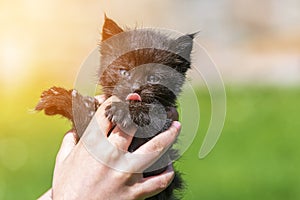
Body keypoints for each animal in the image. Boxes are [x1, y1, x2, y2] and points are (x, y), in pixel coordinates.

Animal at [36, 16, 195, 200]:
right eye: (124, 72)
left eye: (153, 78)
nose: (135, 88)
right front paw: (60, 97)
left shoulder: (157, 157)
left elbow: (154, 115)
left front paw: (126, 111)